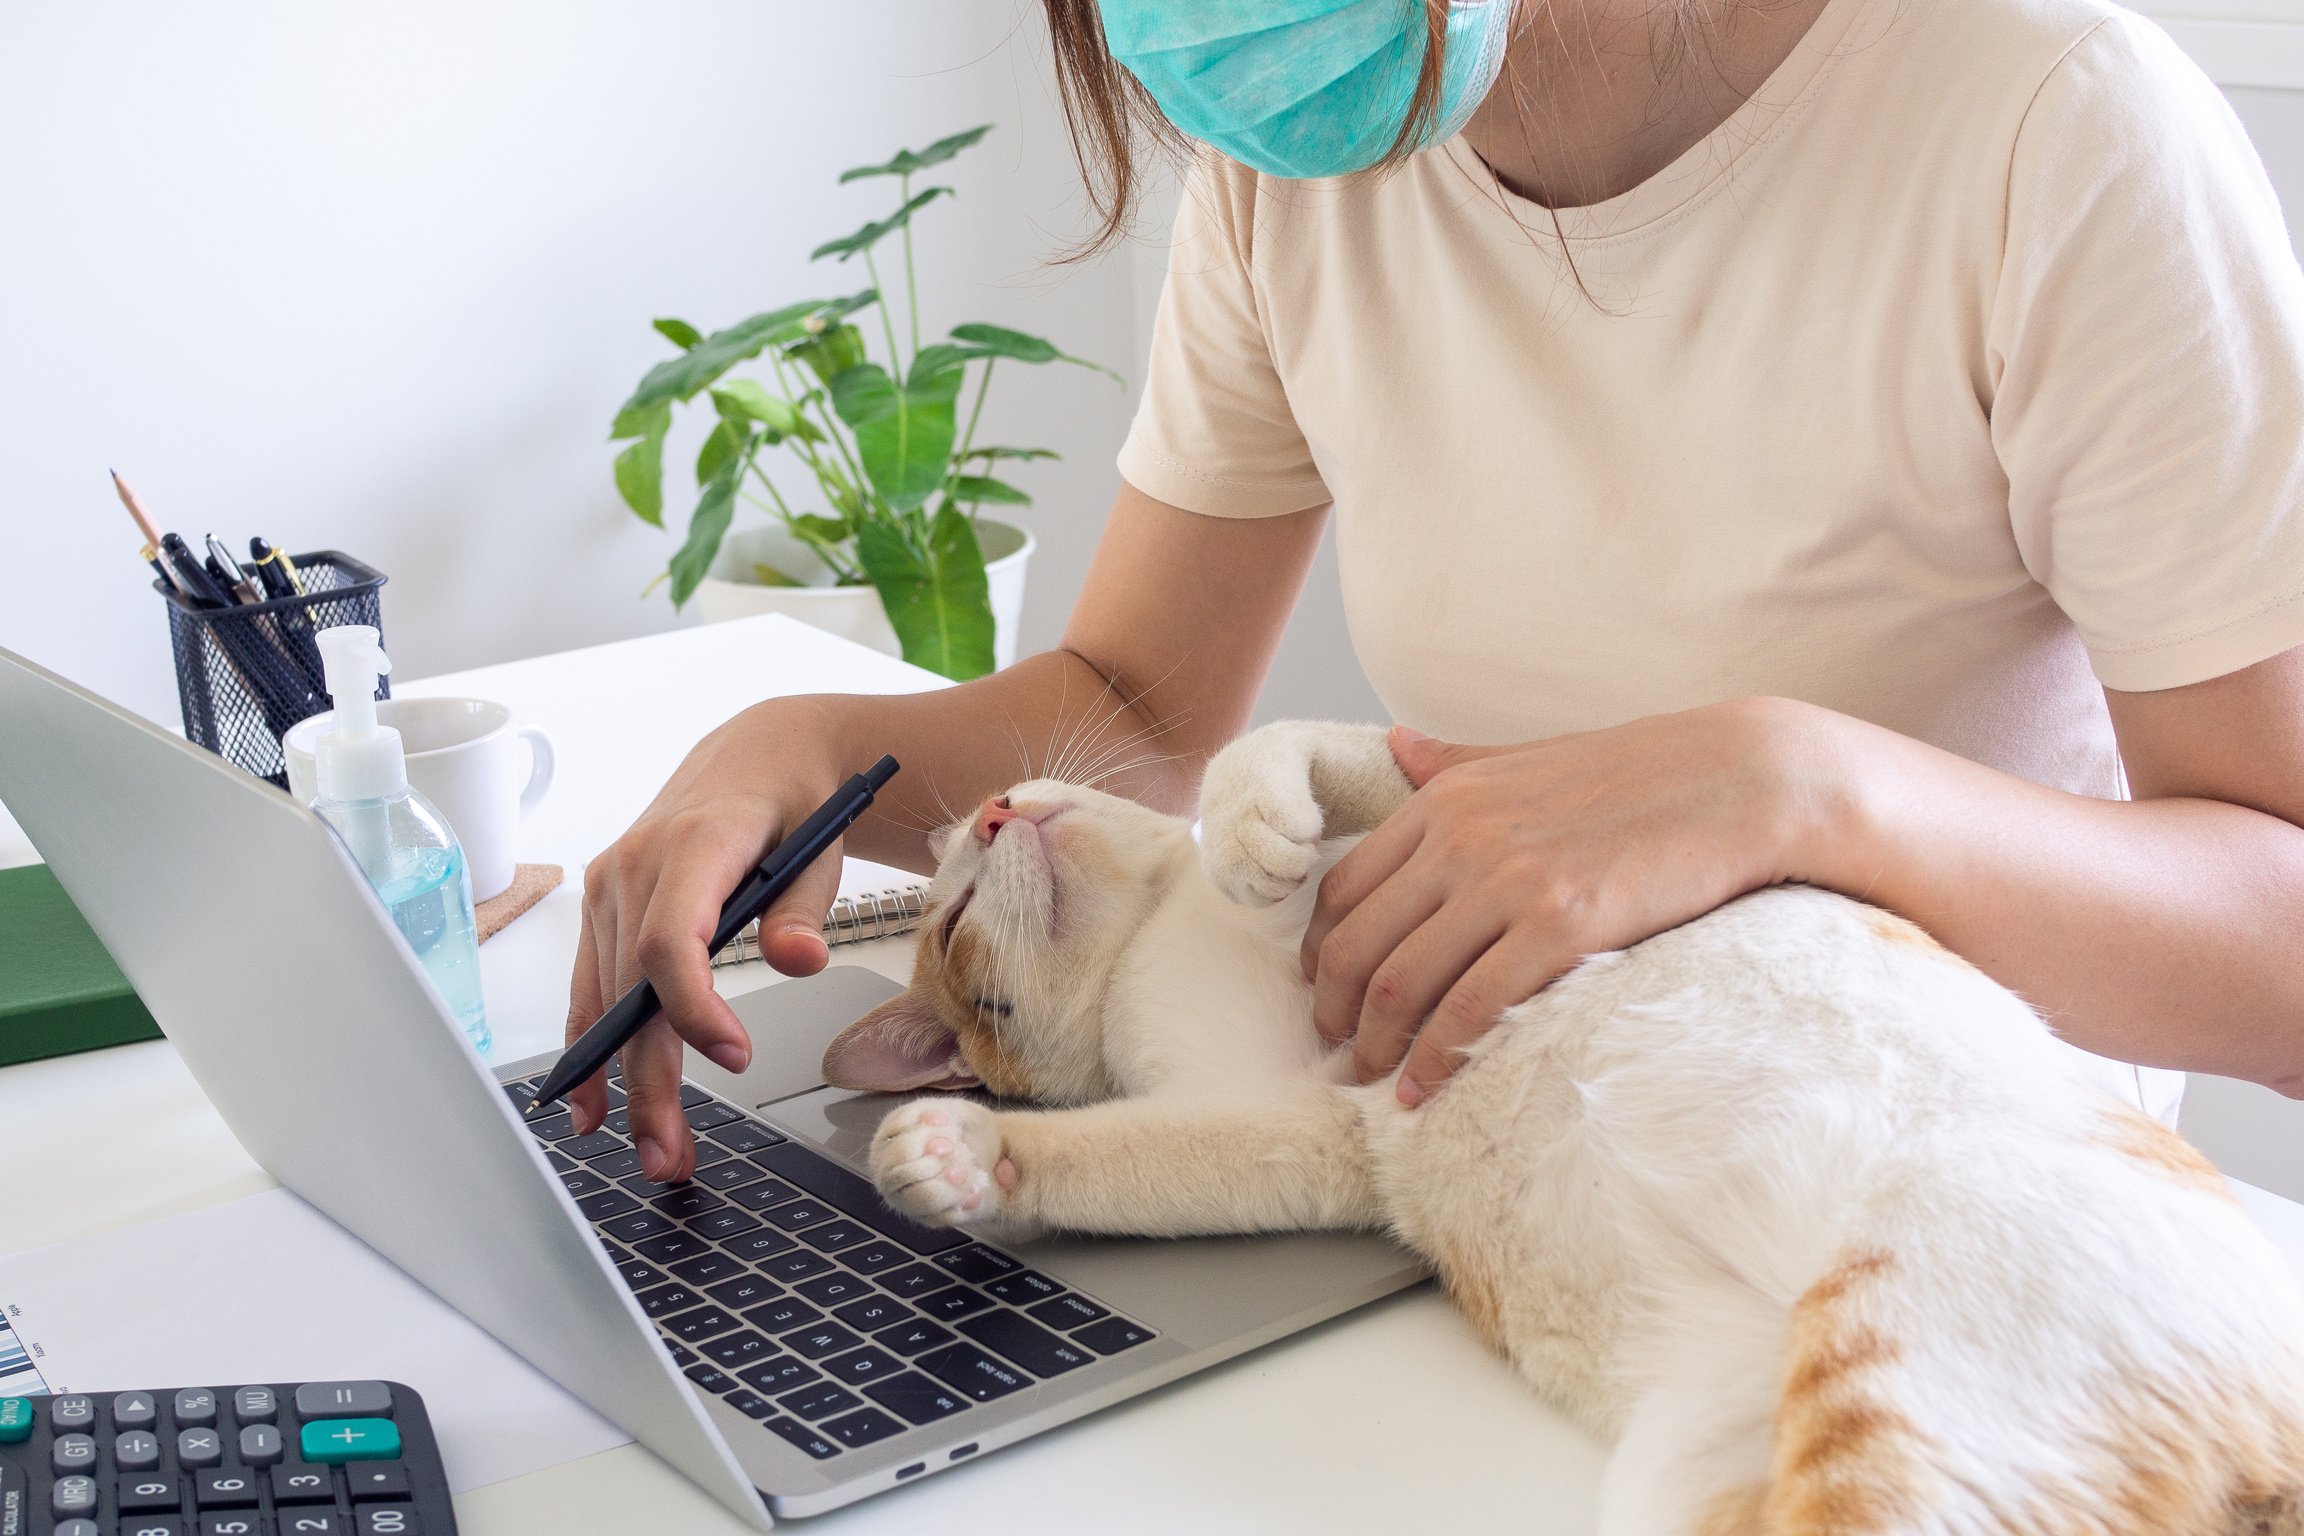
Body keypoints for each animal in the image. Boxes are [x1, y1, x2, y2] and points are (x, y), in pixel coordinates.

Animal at [824, 723, 2304, 1536]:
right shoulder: (1298, 1131)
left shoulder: (1438, 785)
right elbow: (1117, 1159)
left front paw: (1255, 838)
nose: (1001, 808)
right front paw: (953, 1158)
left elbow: (1280, 748)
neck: (1156, 943)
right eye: (952, 917)